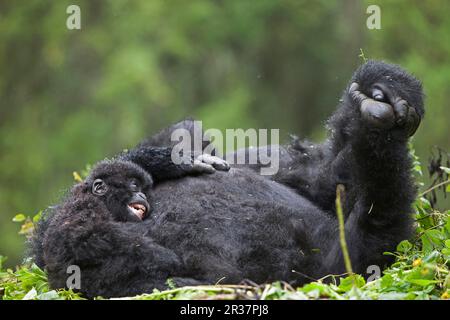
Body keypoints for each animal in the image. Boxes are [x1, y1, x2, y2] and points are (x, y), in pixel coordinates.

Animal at [32, 61, 426, 298]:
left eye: (138, 188)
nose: (139, 196)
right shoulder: (69, 232)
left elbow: (323, 176)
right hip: (342, 270)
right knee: (373, 238)